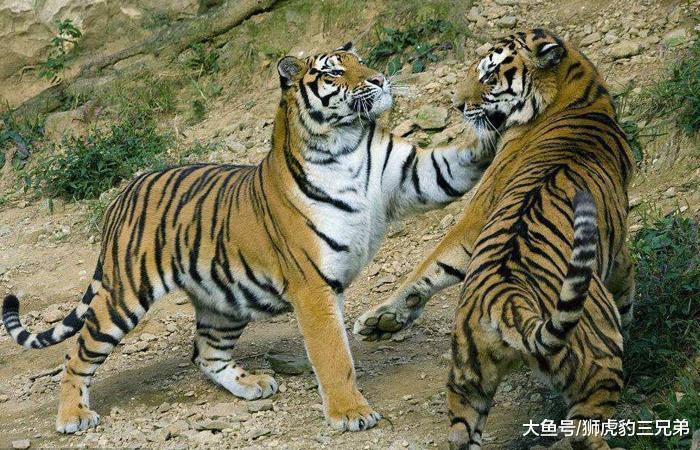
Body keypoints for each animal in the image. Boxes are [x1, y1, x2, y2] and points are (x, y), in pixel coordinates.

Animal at [2, 42, 494, 434]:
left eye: (361, 60)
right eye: (335, 72)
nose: (379, 78)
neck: (349, 143)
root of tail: (125, 192)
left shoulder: (412, 174)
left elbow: (455, 163)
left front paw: (501, 119)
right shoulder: (312, 284)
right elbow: (334, 355)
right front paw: (351, 412)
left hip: (224, 299)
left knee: (205, 352)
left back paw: (251, 384)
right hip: (125, 295)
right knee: (78, 353)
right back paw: (72, 416)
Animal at [354, 29, 635, 449]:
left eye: (488, 76)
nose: (456, 105)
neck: (577, 86)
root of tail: (508, 303)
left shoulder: (477, 217)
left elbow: (433, 263)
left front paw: (381, 318)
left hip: (478, 378)